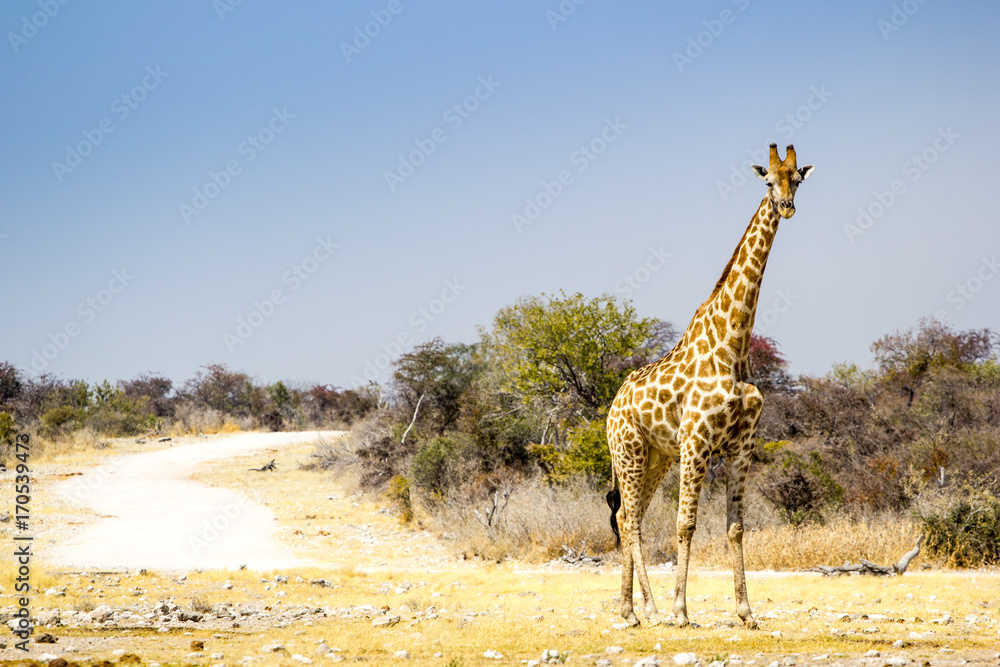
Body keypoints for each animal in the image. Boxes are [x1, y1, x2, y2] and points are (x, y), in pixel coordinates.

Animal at [605, 143, 814, 629]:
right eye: (767, 180)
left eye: (797, 179)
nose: (786, 207)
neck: (733, 346)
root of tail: (611, 409)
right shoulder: (697, 442)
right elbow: (685, 524)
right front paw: (681, 611)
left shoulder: (741, 446)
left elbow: (735, 527)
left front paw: (745, 612)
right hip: (629, 451)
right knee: (630, 520)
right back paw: (652, 608)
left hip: (657, 456)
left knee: (627, 515)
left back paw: (629, 610)